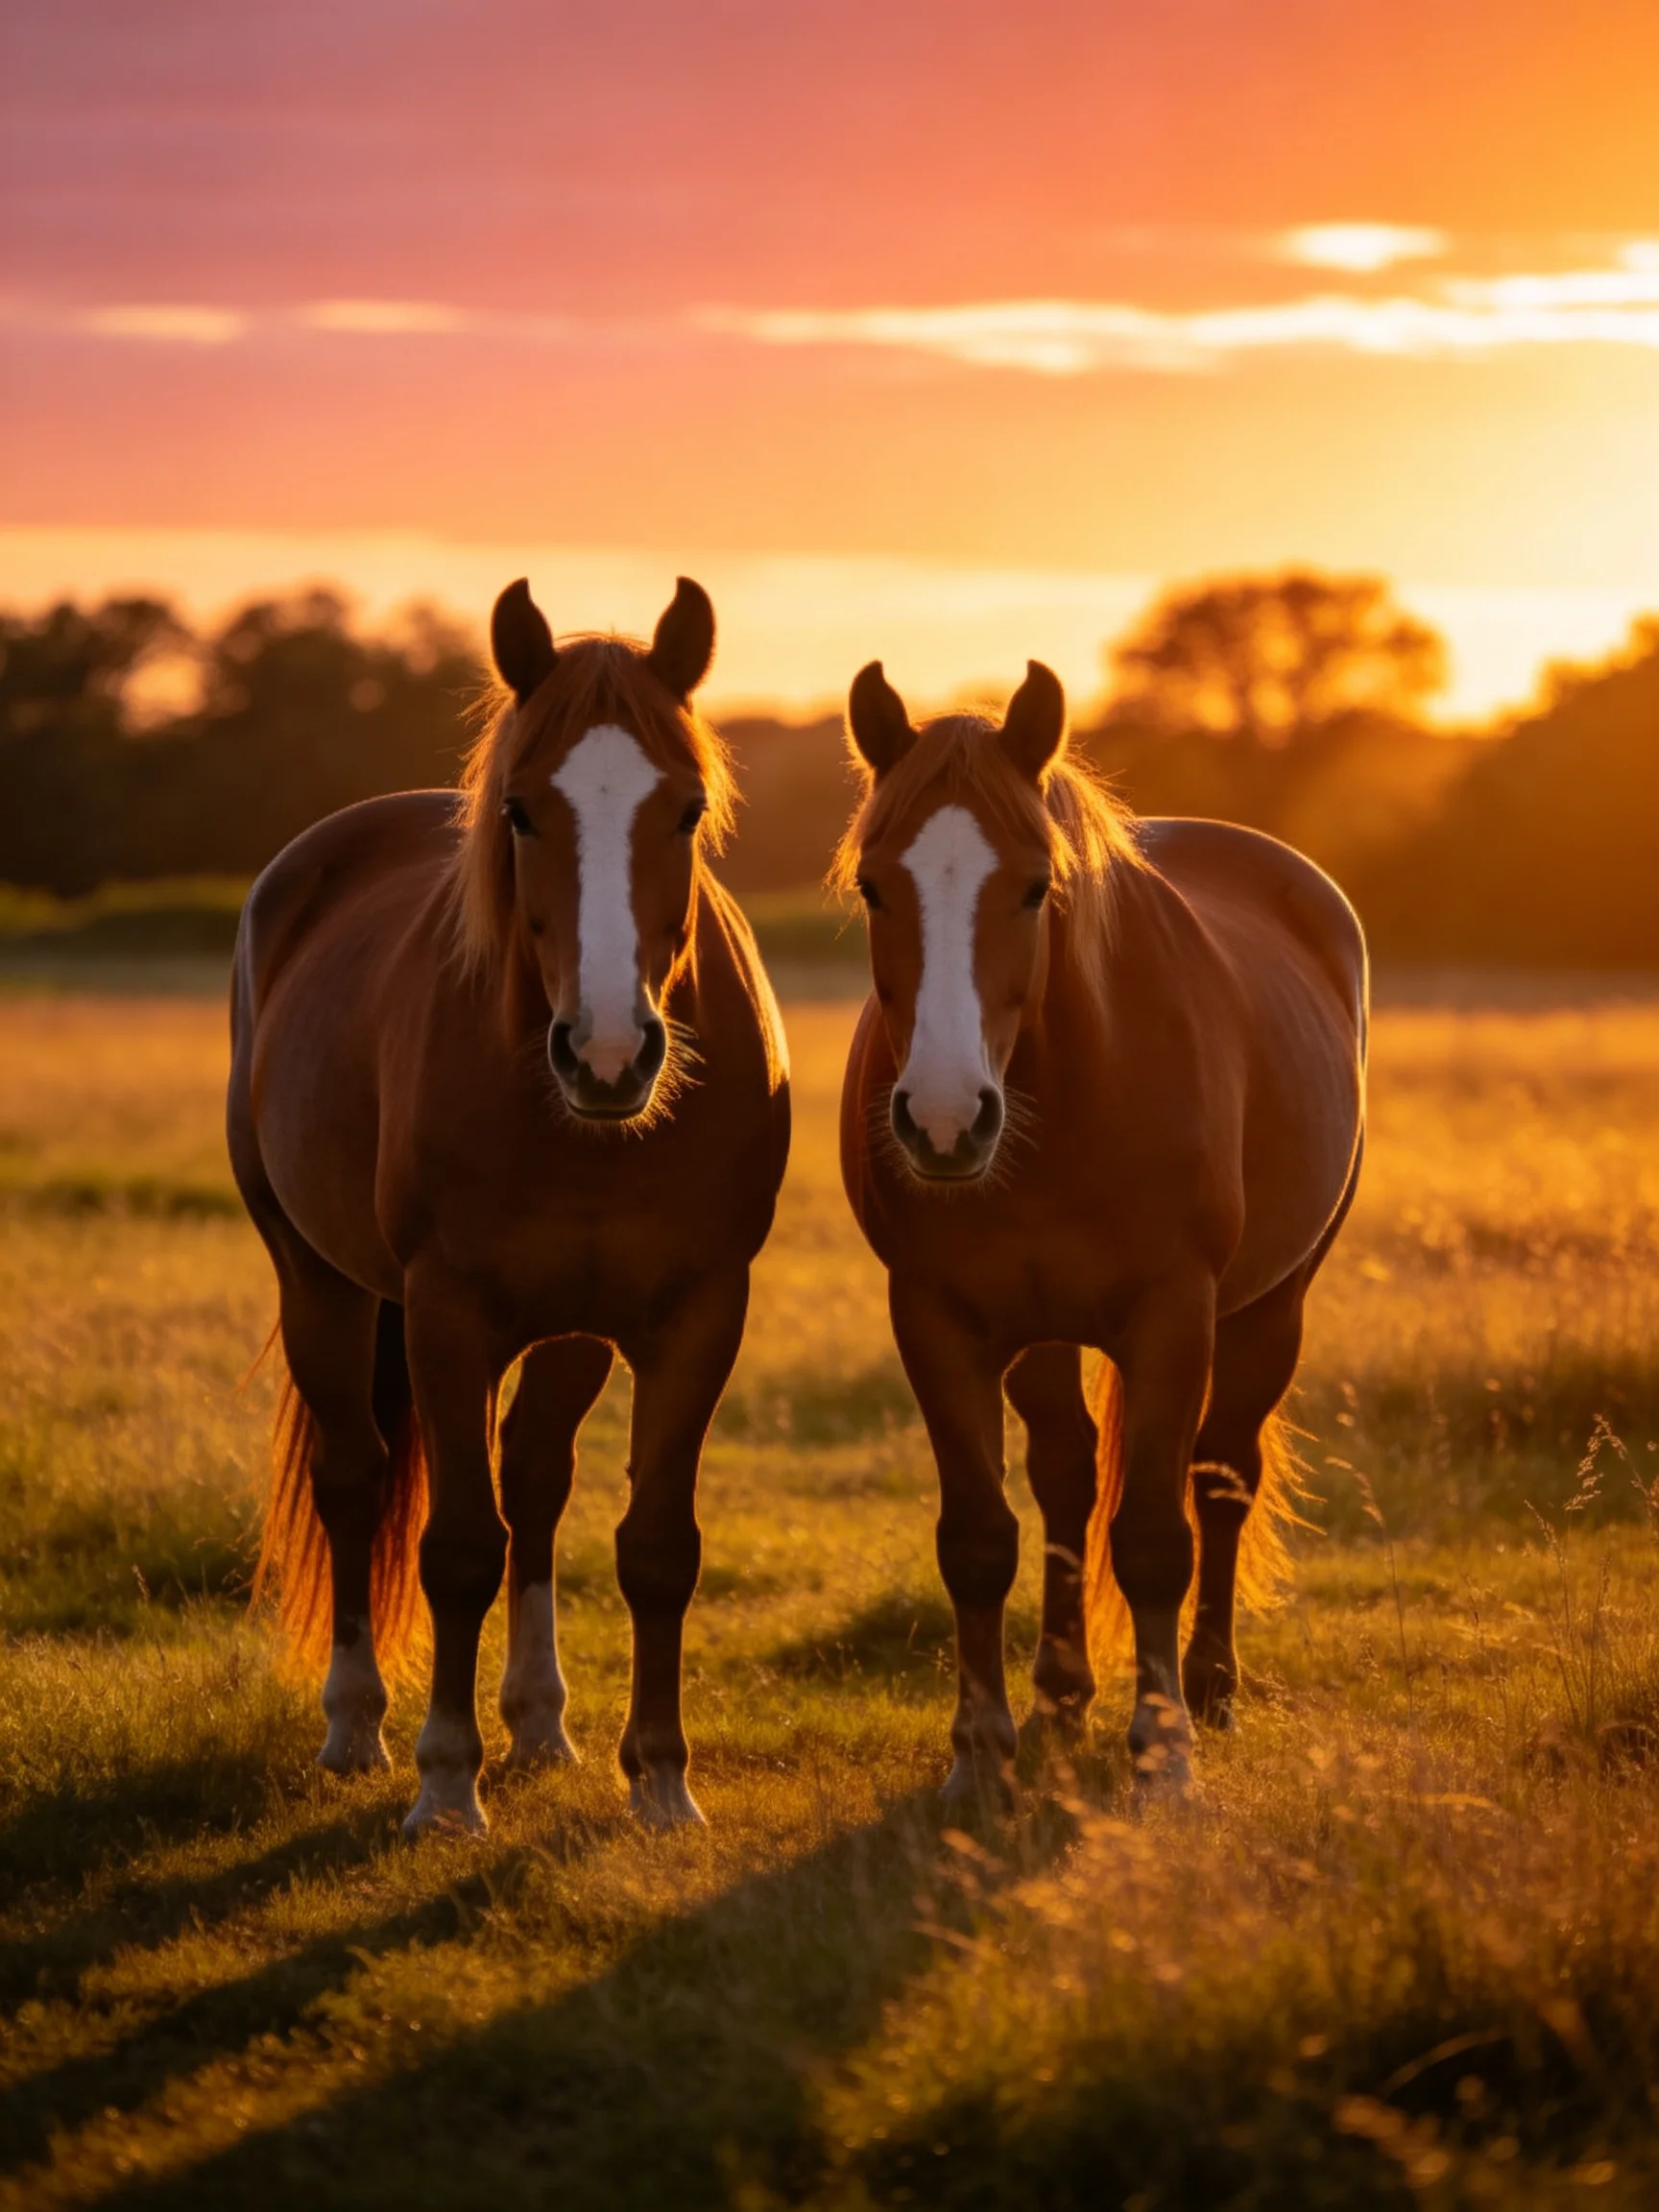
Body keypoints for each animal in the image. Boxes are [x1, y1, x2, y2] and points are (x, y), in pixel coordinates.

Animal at [228, 577, 790, 1835]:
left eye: (686, 811)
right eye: (523, 814)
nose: (610, 1054)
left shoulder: (696, 1316)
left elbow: (654, 1545)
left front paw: (662, 1781)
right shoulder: (447, 1315)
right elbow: (457, 1549)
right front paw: (445, 1781)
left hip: (570, 1329)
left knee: (535, 1480)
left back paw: (540, 1726)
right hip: (317, 1281)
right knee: (355, 1477)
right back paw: (357, 1726)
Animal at [835, 658, 1366, 1796]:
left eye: (1037, 886)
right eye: (874, 886)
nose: (943, 1119)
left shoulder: (1173, 1317)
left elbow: (1158, 1535)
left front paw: (1163, 1753)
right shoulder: (938, 1321)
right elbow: (980, 1537)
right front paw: (980, 1751)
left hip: (1271, 1310)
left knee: (1222, 1478)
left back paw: (1209, 1688)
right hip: (1042, 1334)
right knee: (1068, 1477)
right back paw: (1061, 1693)